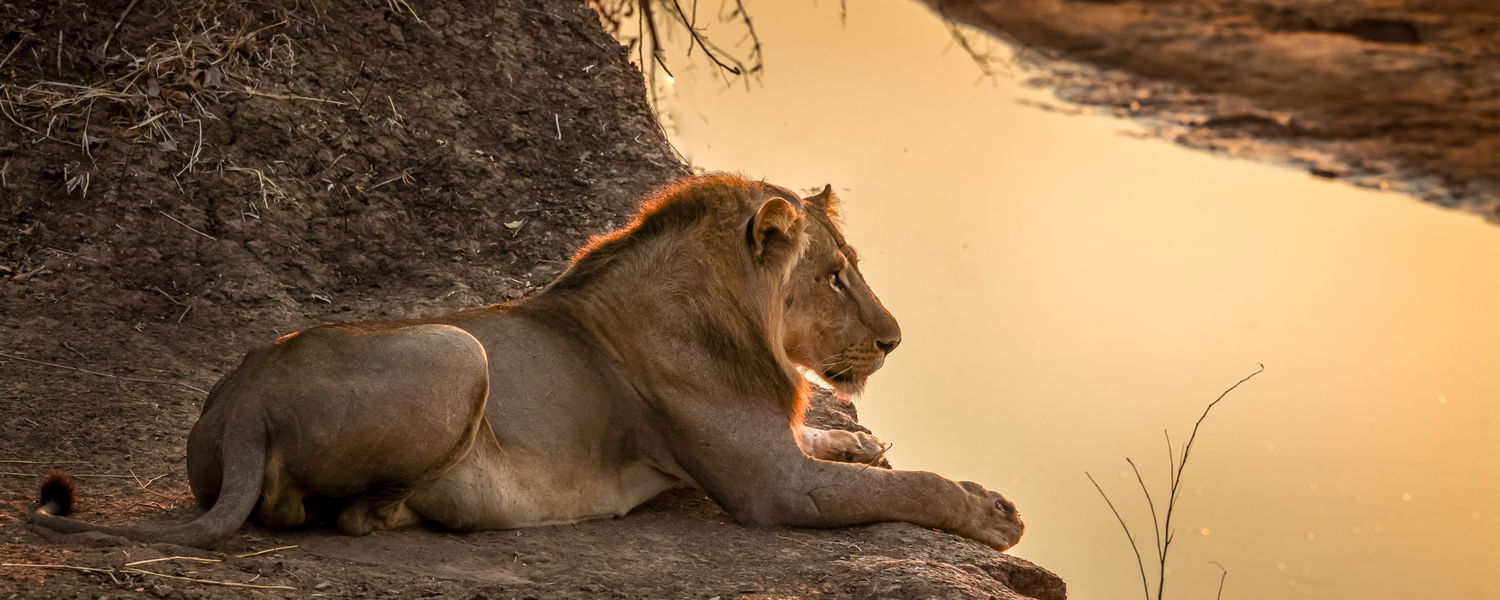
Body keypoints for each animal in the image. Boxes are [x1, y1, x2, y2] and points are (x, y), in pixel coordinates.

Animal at [31, 175, 1023, 551]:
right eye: (835, 275)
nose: (895, 339)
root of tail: (239, 399)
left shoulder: (780, 449)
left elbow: (841, 446)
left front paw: (866, 443)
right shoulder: (773, 489)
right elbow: (911, 487)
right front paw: (990, 509)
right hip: (457, 346)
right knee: (319, 514)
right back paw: (417, 509)